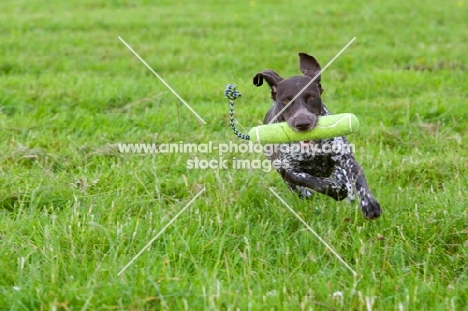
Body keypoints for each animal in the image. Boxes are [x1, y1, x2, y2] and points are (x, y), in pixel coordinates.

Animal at [254, 52, 382, 219]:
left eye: (311, 97)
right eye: (286, 100)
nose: (302, 123)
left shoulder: (345, 158)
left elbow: (358, 178)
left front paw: (369, 203)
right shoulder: (289, 171)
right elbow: (314, 182)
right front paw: (335, 190)